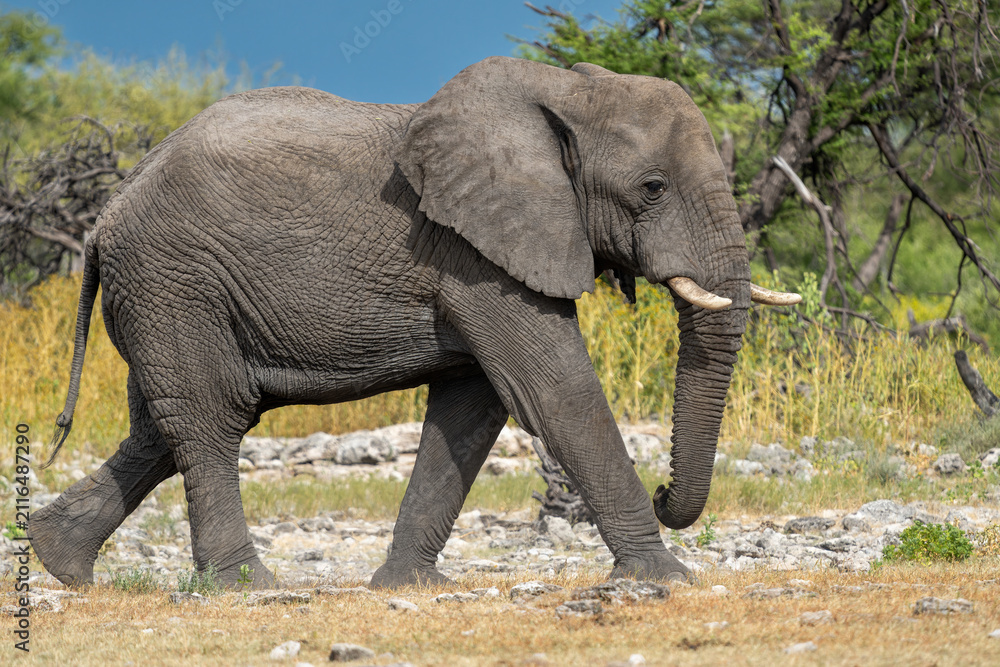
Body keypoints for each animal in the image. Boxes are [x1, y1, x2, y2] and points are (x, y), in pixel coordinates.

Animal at [29, 56, 799, 590]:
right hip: (175, 279)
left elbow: (471, 407)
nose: (669, 493)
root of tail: (106, 212)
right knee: (211, 417)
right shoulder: (476, 251)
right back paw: (247, 587)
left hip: (164, 292)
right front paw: (664, 579)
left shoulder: (477, 254)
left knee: (160, 426)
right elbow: (555, 390)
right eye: (652, 188)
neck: (568, 95)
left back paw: (58, 560)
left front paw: (409, 584)